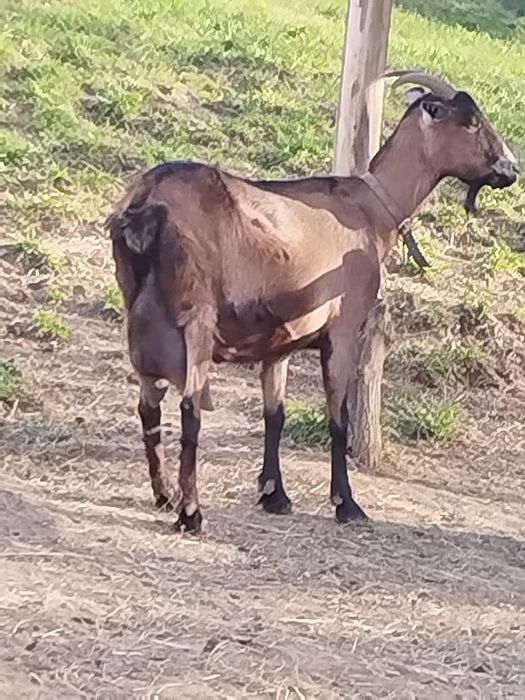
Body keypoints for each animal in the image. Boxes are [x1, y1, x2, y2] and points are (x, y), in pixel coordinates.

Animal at [108, 70, 518, 533]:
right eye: (470, 122)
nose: (510, 168)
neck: (370, 209)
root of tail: (145, 203)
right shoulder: (344, 327)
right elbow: (338, 417)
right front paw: (347, 503)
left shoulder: (279, 340)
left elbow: (275, 414)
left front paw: (274, 494)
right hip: (194, 316)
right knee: (190, 405)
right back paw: (191, 511)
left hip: (140, 314)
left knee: (148, 405)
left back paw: (164, 495)